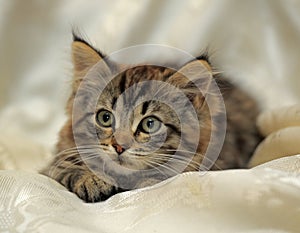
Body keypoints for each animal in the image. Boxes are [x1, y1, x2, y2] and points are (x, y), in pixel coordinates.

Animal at [41, 32, 262, 202]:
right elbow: (65, 166)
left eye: (149, 124)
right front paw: (92, 180)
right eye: (105, 118)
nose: (119, 147)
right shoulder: (56, 160)